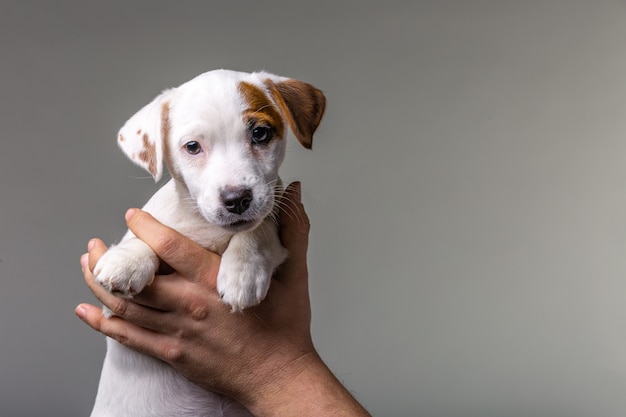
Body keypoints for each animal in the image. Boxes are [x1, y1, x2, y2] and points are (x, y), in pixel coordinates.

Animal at [91, 69, 330, 416]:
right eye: (193, 146)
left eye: (260, 133)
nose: (236, 199)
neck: (208, 228)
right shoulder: (116, 310)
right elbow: (152, 232)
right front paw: (128, 260)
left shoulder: (275, 216)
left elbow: (258, 228)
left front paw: (243, 271)